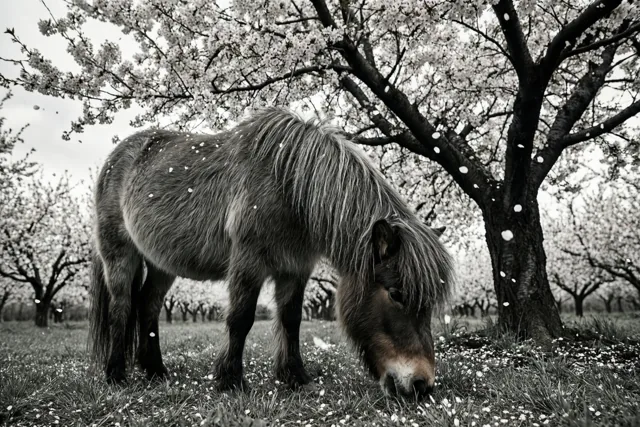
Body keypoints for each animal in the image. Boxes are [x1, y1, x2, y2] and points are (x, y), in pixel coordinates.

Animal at [89, 107, 454, 397]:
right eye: (396, 294)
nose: (421, 385)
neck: (289, 185)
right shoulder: (248, 263)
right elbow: (241, 318)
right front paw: (230, 381)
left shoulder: (295, 268)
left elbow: (291, 319)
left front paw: (295, 377)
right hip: (120, 255)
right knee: (122, 307)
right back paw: (116, 375)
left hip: (161, 265)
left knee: (148, 306)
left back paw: (155, 372)